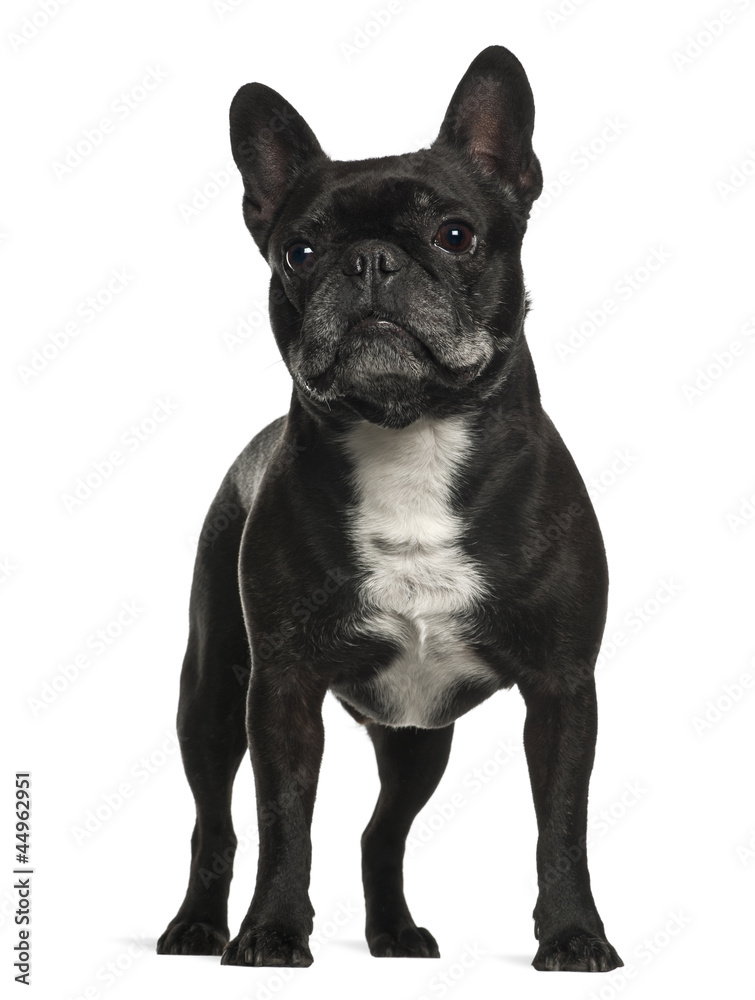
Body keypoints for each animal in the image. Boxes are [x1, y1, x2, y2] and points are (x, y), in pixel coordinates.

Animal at [157, 43, 624, 972]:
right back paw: (197, 926)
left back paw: (394, 934)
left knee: (383, 832)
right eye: (299, 251)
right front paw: (269, 933)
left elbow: (561, 826)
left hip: (416, 736)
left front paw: (573, 936)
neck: (409, 432)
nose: (369, 260)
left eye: (455, 234)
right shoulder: (282, 689)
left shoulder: (561, 690)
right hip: (213, 695)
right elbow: (281, 821)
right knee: (213, 822)